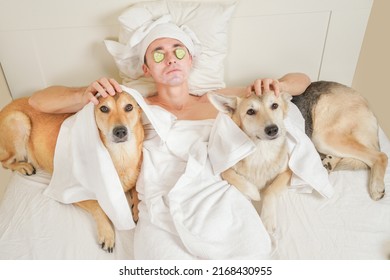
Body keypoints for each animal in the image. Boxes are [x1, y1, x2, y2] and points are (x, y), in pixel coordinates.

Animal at [0, 92, 144, 252]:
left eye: (129, 107)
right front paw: (107, 234)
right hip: (18, 120)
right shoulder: (71, 192)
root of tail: (6, 107)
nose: (120, 131)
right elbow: (97, 207)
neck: (120, 155)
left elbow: (136, 190)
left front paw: (137, 209)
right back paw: (23, 166)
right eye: (104, 108)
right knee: (4, 162)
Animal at [209, 91, 290, 232]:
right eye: (250, 111)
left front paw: (268, 219)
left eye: (274, 105)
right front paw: (255, 193)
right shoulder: (226, 166)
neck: (262, 152)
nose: (272, 129)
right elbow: (232, 177)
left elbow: (270, 190)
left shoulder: (287, 172)